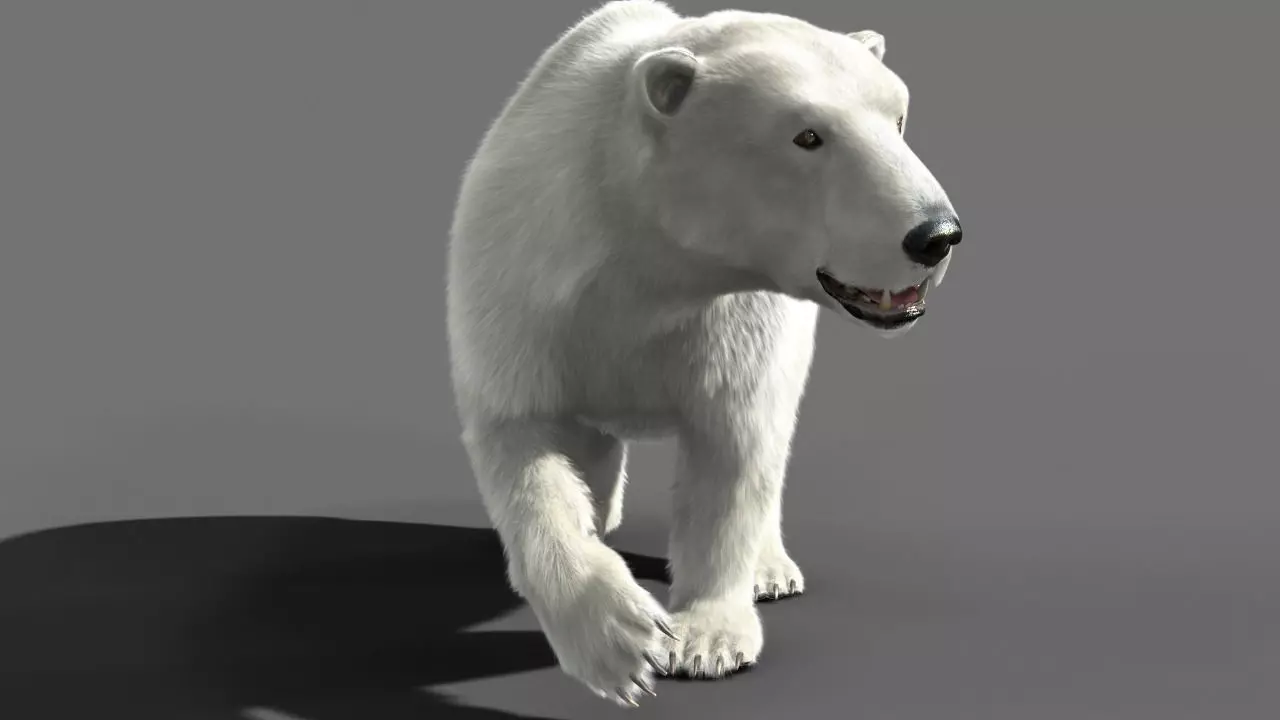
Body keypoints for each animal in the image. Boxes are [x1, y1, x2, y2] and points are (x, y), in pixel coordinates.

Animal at [445, 0, 962, 707]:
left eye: (899, 117)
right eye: (807, 135)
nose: (935, 234)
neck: (650, 263)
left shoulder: (736, 316)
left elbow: (733, 447)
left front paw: (707, 641)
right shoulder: (528, 286)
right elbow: (520, 438)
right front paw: (622, 640)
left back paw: (770, 569)